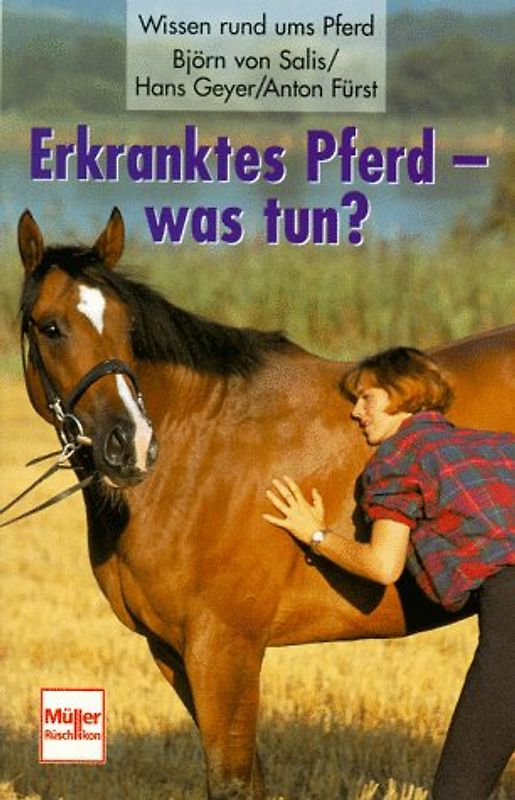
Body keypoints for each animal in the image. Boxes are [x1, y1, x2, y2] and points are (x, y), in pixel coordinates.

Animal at [15, 207, 514, 799]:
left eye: (126, 326)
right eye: (50, 327)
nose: (129, 442)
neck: (202, 452)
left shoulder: (225, 648)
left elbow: (231, 781)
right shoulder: (174, 652)